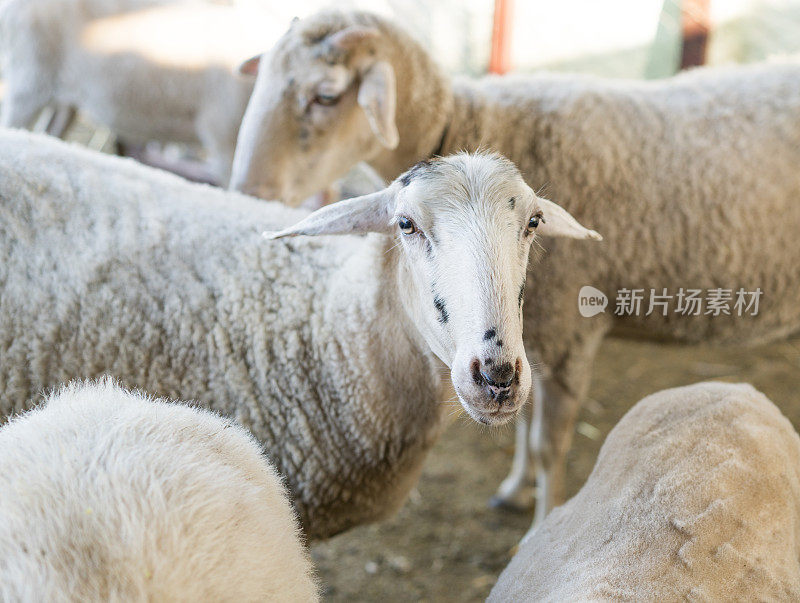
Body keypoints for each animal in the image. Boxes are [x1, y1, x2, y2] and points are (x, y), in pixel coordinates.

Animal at [227, 10, 800, 528]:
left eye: (325, 96)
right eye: (405, 223)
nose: (248, 192)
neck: (471, 120)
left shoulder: (571, 331)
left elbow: (548, 445)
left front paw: (540, 519)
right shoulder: (531, 334)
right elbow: (524, 426)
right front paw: (515, 488)